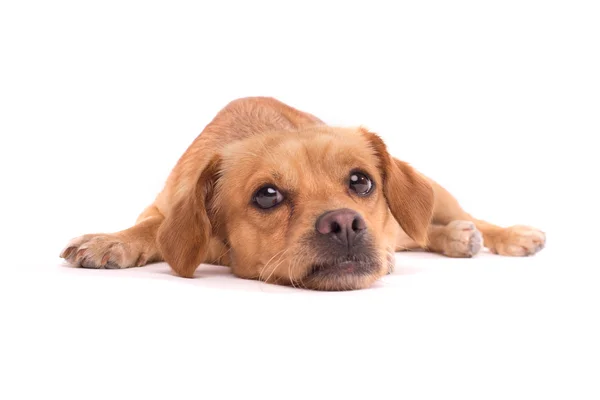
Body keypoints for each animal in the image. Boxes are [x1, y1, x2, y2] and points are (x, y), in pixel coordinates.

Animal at [58, 97, 548, 290]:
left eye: (361, 181)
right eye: (267, 195)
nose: (346, 223)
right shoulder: (158, 208)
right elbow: (149, 228)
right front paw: (111, 241)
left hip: (439, 196)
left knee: (454, 221)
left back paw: (507, 235)